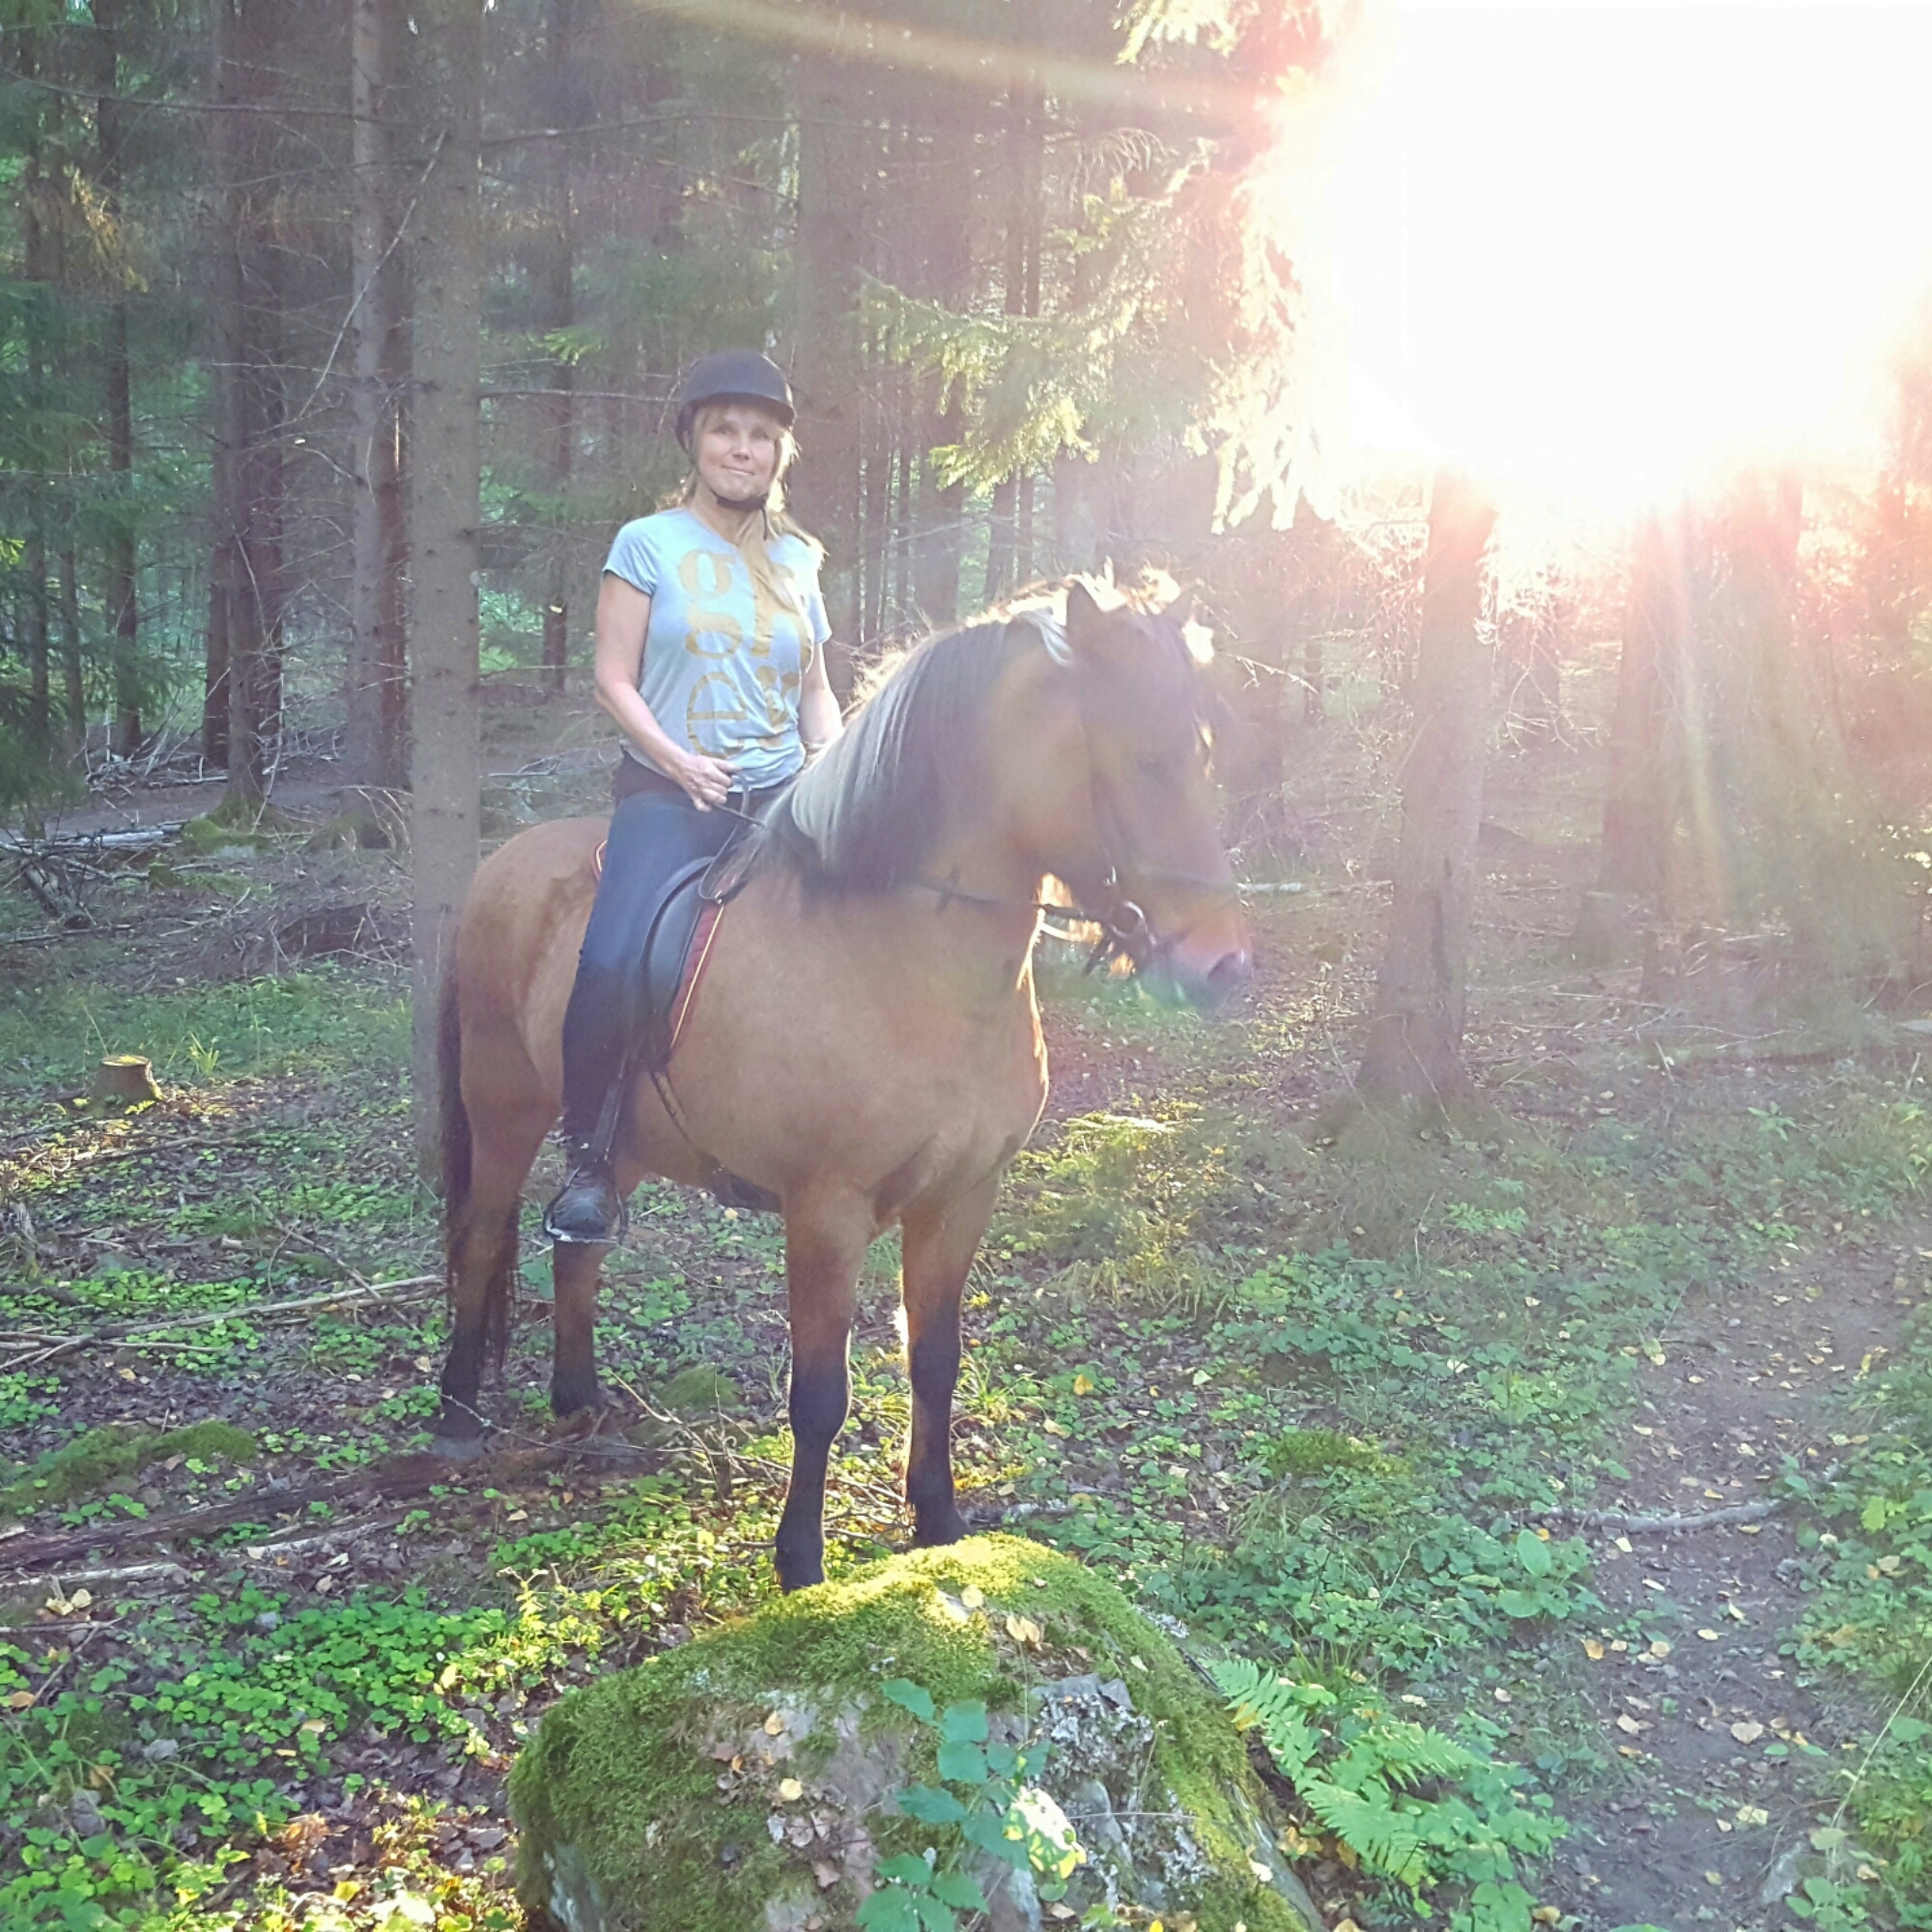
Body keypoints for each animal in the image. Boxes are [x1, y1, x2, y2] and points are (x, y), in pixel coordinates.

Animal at [431, 579, 1251, 1591]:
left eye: (1201, 756)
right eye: (1141, 758)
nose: (1222, 966)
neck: (905, 960)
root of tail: (503, 862)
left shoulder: (962, 1197)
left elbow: (934, 1360)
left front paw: (938, 1521)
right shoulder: (827, 1209)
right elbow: (821, 1392)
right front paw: (801, 1565)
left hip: (616, 1142)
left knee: (578, 1247)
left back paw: (579, 1401)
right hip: (503, 1100)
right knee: (478, 1240)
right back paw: (457, 1415)